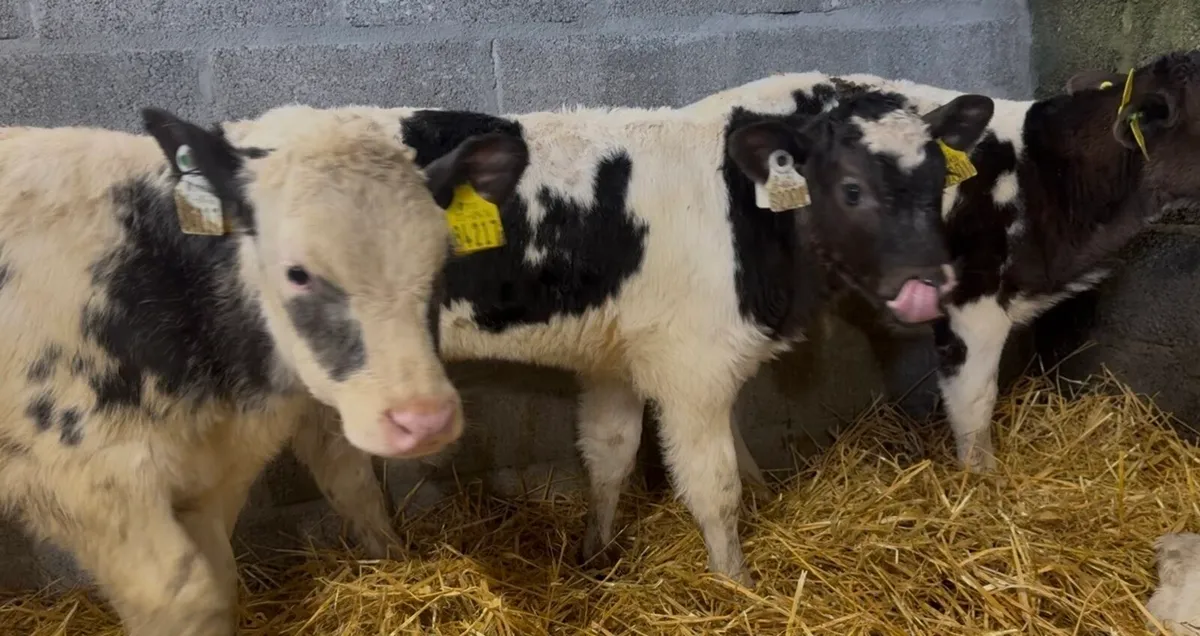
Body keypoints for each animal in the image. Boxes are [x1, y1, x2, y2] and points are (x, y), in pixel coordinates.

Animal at [0, 105, 528, 636]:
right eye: (297, 273)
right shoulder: (88, 480)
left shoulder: (214, 479)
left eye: (442, 261)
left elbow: (223, 578)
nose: (424, 421)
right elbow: (188, 596)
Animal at [261, 85, 996, 585]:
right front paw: (738, 585)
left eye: (939, 180)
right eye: (849, 188)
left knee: (343, 473)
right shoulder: (696, 367)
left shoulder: (617, 357)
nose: (929, 284)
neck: (745, 214)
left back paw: (390, 559)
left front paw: (596, 553)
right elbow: (713, 485)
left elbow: (610, 454)